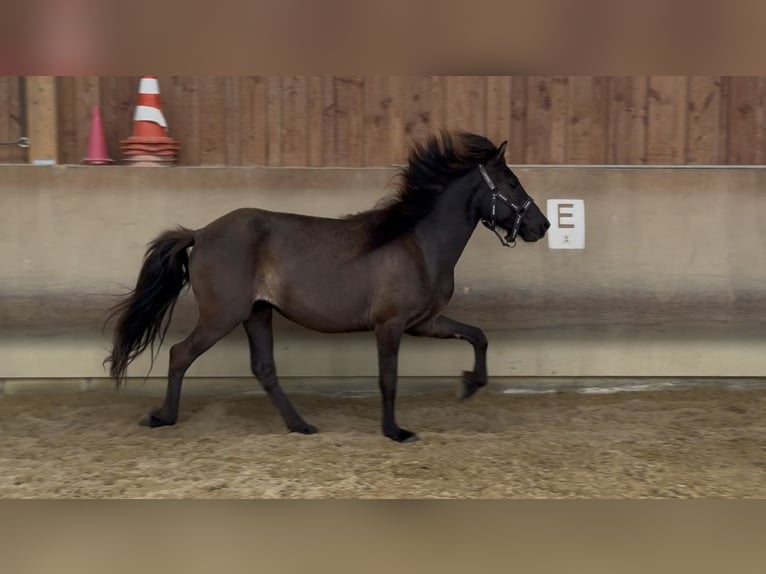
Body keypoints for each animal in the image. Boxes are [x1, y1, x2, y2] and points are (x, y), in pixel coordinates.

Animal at [104, 130, 551, 442]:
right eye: (511, 183)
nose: (542, 225)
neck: (418, 244)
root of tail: (200, 233)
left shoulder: (424, 322)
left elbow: (477, 335)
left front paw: (470, 385)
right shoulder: (390, 325)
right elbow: (388, 380)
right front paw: (396, 432)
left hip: (256, 313)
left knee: (264, 369)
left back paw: (300, 425)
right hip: (222, 315)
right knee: (180, 355)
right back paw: (163, 417)